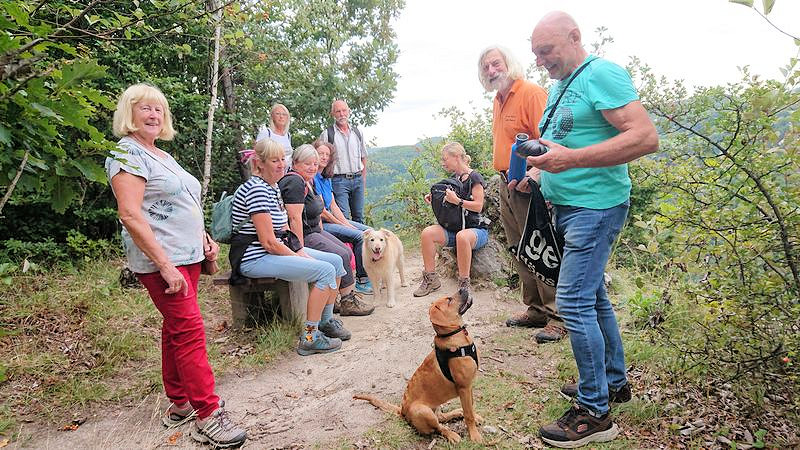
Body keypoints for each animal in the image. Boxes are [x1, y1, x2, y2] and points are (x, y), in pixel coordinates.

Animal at [354, 288, 482, 442]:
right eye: (449, 300)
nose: (464, 288)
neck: (455, 336)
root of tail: (402, 410)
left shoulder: (469, 387)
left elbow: (471, 408)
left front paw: (474, 419)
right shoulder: (464, 387)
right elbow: (468, 414)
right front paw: (474, 435)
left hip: (436, 406)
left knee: (442, 417)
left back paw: (457, 413)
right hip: (423, 411)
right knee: (439, 427)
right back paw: (451, 434)